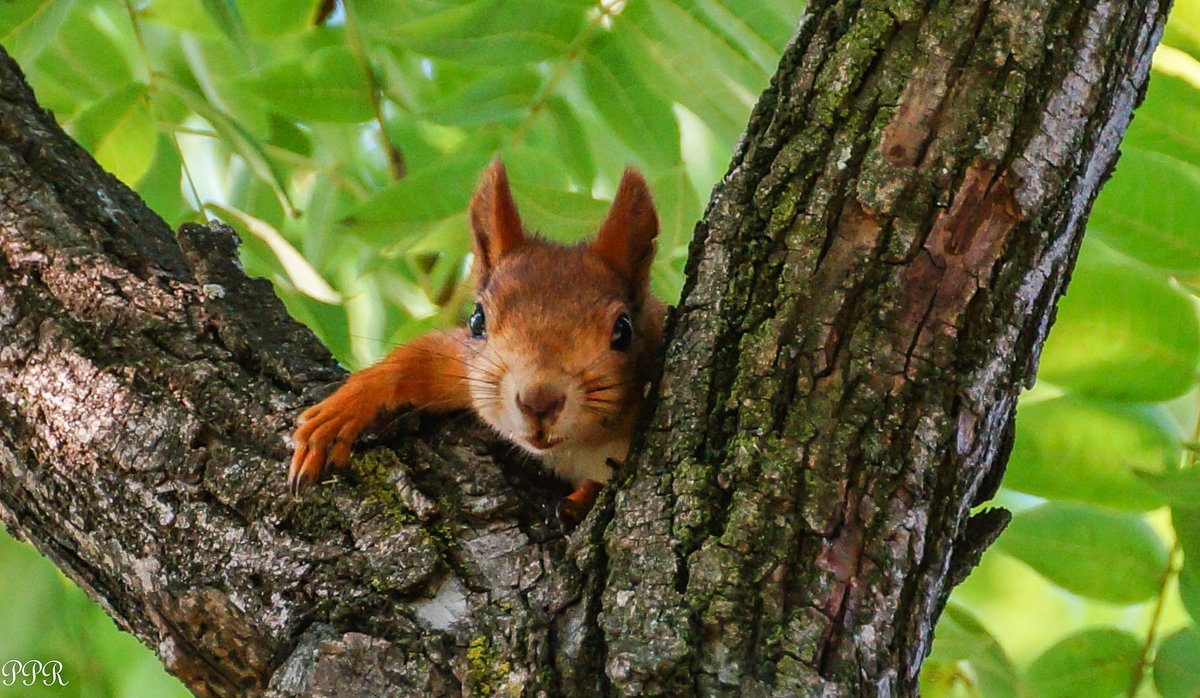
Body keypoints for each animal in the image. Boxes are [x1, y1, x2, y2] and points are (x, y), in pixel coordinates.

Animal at [289, 159, 667, 530]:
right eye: (477, 320)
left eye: (623, 330)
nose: (538, 401)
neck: (580, 447)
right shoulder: (470, 372)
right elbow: (419, 360)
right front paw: (344, 409)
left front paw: (584, 497)